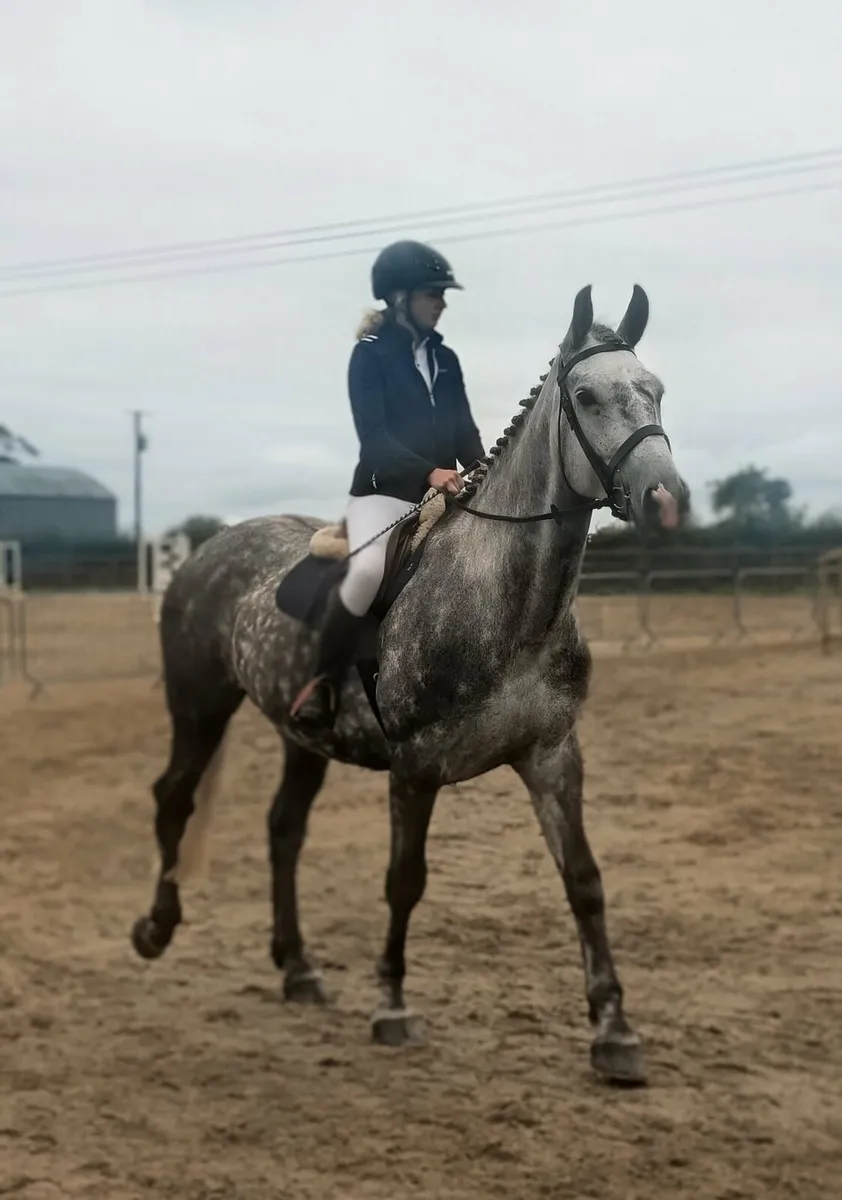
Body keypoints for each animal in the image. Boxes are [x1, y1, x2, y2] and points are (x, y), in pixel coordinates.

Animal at [131, 284, 690, 1087]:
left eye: (656, 390)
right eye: (585, 396)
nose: (666, 499)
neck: (509, 602)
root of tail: (212, 547)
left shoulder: (553, 755)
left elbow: (584, 880)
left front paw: (614, 1033)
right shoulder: (416, 767)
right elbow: (405, 879)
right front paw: (391, 1006)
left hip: (301, 735)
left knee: (282, 829)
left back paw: (297, 967)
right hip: (200, 705)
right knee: (174, 796)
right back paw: (156, 928)